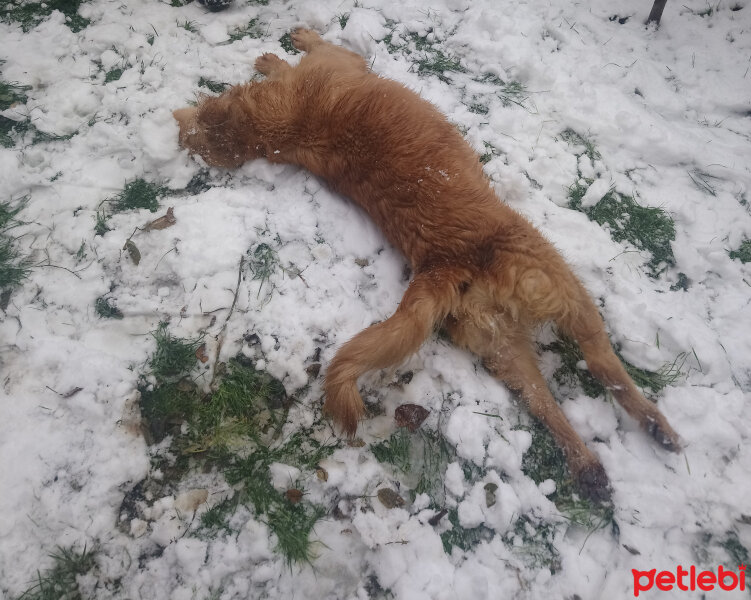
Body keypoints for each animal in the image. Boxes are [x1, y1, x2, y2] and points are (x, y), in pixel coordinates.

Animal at [175, 25, 680, 500]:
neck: (286, 124)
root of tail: (445, 263)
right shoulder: (339, 59)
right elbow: (308, 51)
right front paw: (281, 51)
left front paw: (276, 54)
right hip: (557, 287)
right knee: (603, 364)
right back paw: (654, 426)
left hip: (503, 349)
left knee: (547, 406)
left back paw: (590, 468)